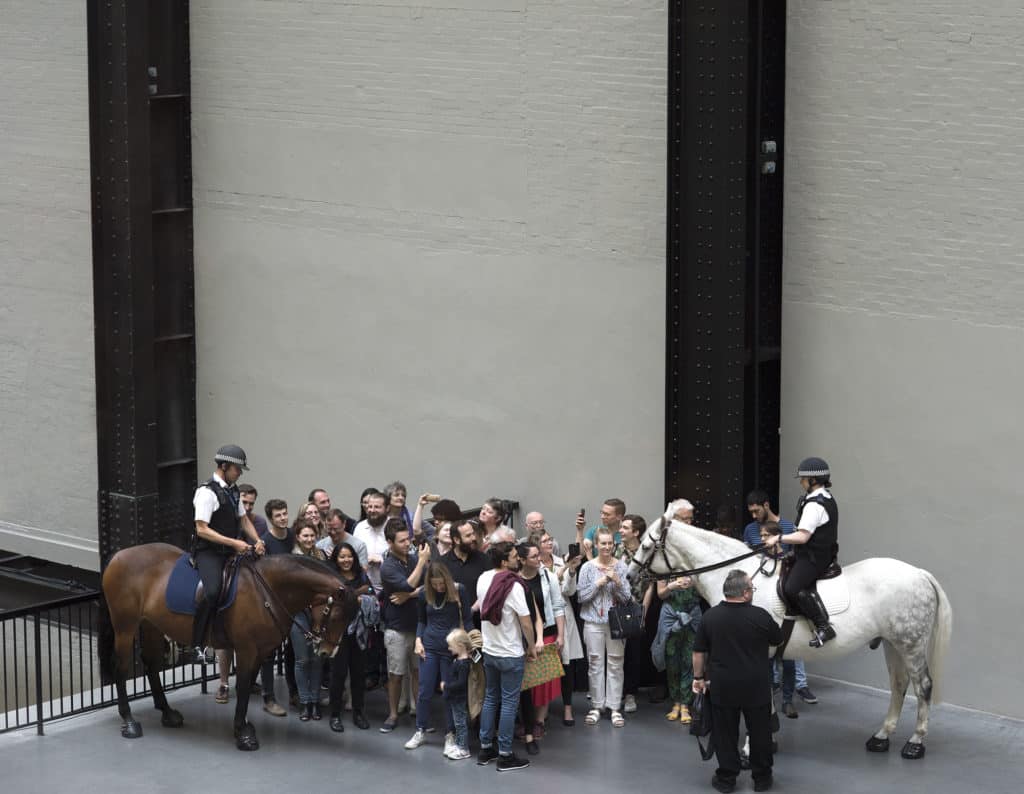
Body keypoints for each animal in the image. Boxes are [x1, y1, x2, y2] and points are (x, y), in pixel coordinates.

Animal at [99, 545, 356, 749]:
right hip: (125, 626)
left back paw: (167, 712)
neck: (268, 590)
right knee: (121, 667)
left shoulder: (261, 651)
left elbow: (247, 685)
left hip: (151, 624)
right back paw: (129, 721)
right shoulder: (246, 650)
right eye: (335, 616)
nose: (329, 651)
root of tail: (119, 555)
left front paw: (243, 726)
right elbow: (242, 687)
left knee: (151, 664)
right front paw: (243, 734)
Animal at [626, 499, 954, 762]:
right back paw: (881, 737)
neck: (737, 579)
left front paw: (751, 750)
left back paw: (915, 743)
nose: (630, 577)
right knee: (899, 685)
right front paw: (767, 741)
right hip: (892, 642)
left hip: (910, 644)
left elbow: (758, 697)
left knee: (923, 686)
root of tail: (919, 574)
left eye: (646, 545)